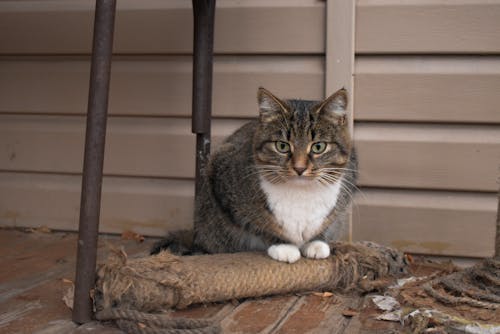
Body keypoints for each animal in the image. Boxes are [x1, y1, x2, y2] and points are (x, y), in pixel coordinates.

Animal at [150, 87, 358, 264]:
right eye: (282, 146)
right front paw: (283, 245)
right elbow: (257, 222)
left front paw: (316, 242)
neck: (300, 193)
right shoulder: (222, 178)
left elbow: (326, 224)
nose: (299, 168)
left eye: (318, 147)